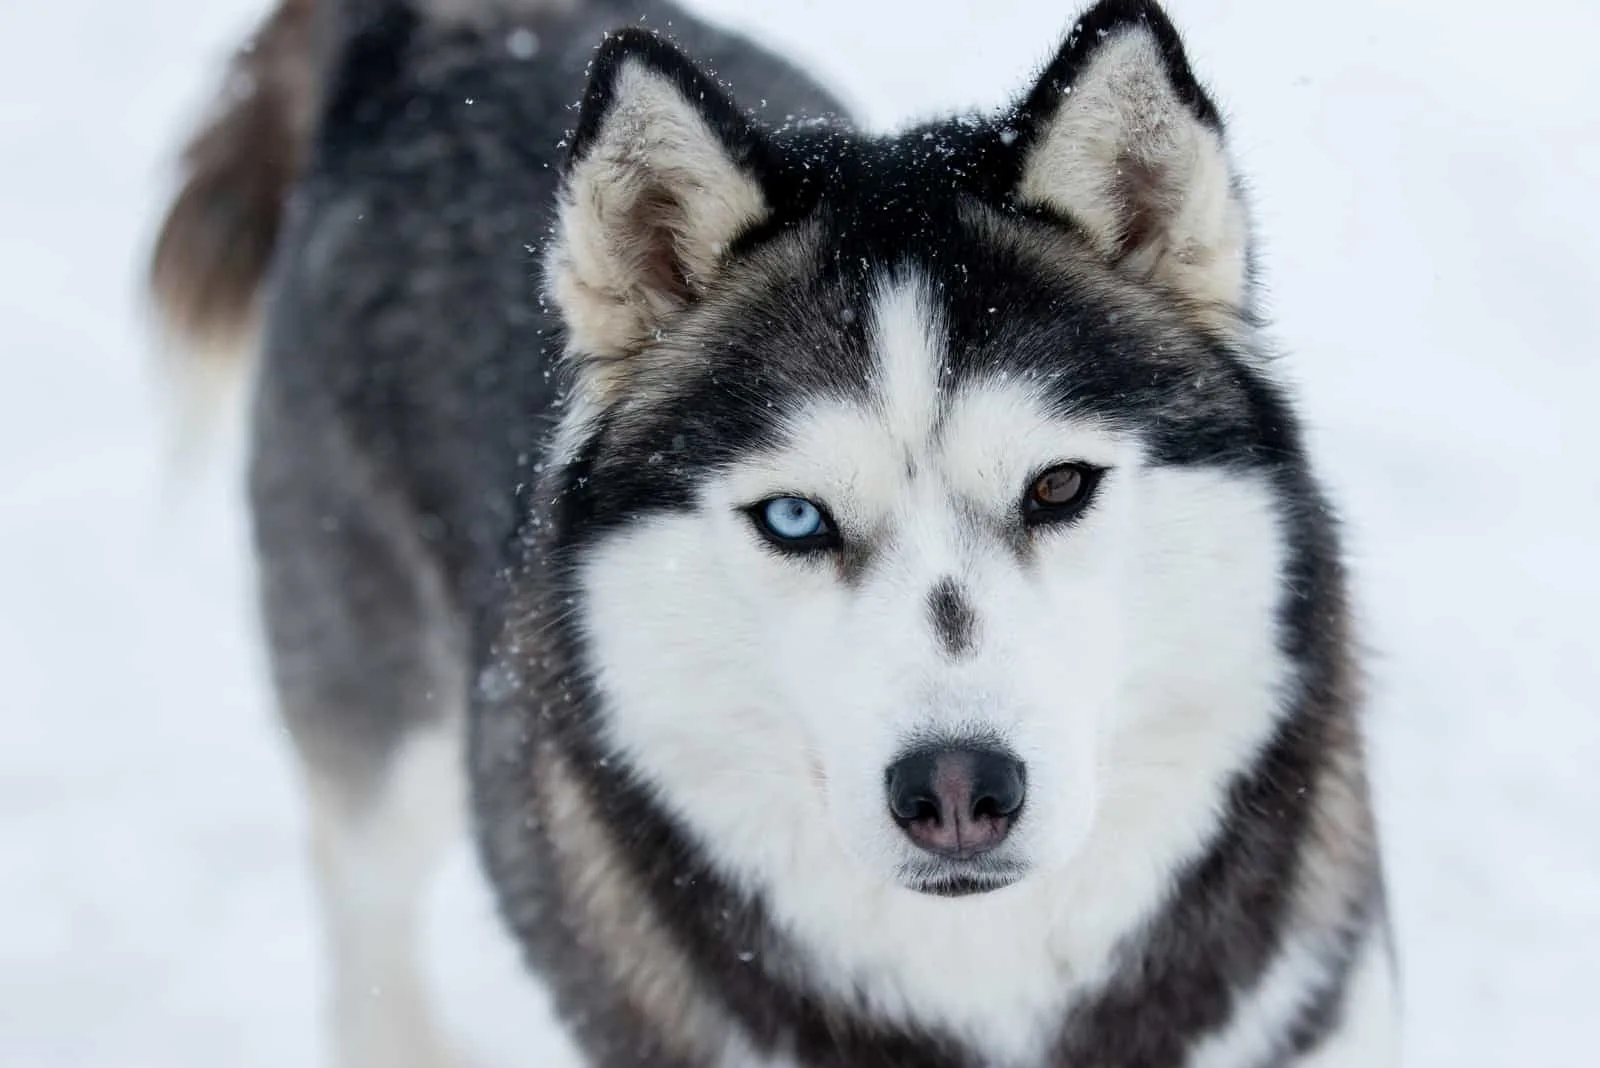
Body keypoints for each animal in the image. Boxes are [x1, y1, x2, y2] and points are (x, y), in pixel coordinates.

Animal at [152, 2, 1401, 1068]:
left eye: (1056, 486)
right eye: (795, 517)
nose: (958, 792)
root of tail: (432, 35)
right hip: (387, 716)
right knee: (359, 892)